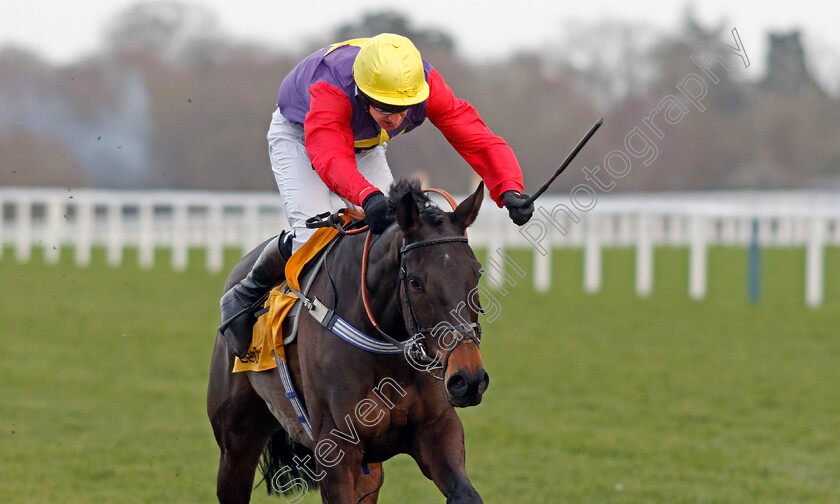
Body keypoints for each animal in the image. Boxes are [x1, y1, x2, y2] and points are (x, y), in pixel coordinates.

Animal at [206, 179, 488, 502]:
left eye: (477, 274)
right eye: (415, 282)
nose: (468, 378)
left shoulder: (437, 430)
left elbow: (466, 493)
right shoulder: (335, 449)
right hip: (235, 443)